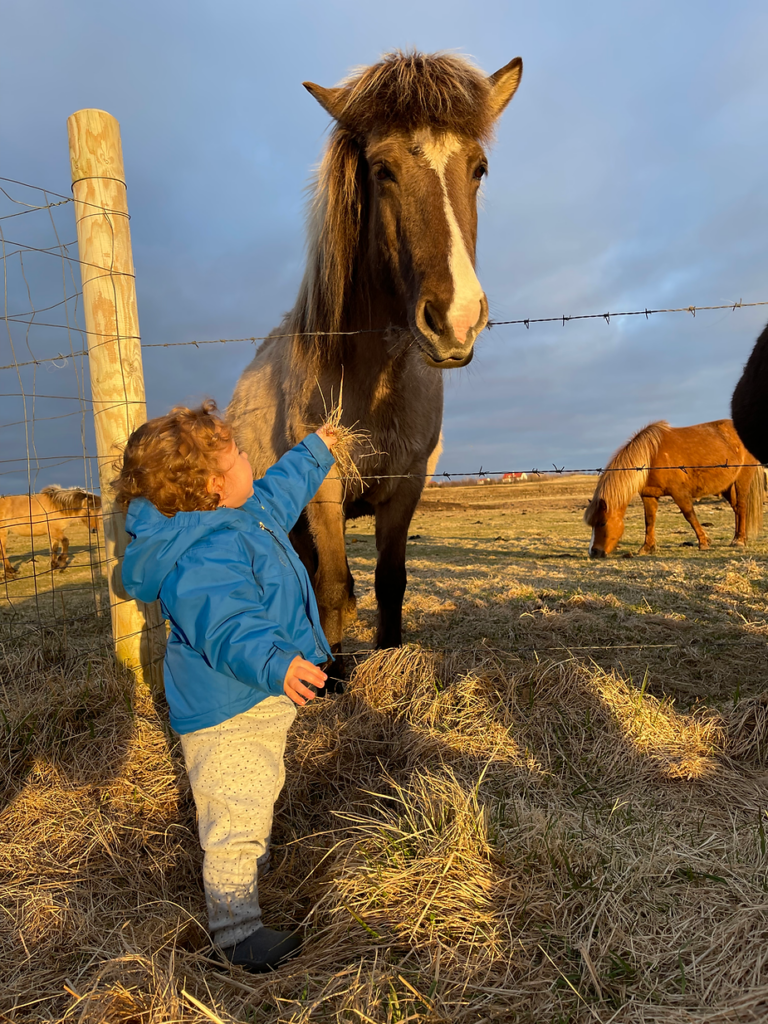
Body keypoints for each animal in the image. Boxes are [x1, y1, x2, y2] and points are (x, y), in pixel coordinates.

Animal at [228, 51, 523, 672]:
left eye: (479, 168)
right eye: (383, 170)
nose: (457, 318)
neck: (374, 380)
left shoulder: (407, 487)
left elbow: (390, 583)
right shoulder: (322, 493)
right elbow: (334, 592)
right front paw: (332, 679)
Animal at [584, 420, 764, 558]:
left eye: (602, 523)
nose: (594, 552)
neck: (651, 456)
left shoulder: (679, 493)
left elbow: (690, 516)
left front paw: (704, 542)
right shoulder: (649, 495)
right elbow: (649, 520)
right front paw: (647, 547)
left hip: (741, 481)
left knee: (741, 507)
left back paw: (739, 540)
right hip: (727, 486)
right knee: (736, 510)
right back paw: (739, 537)